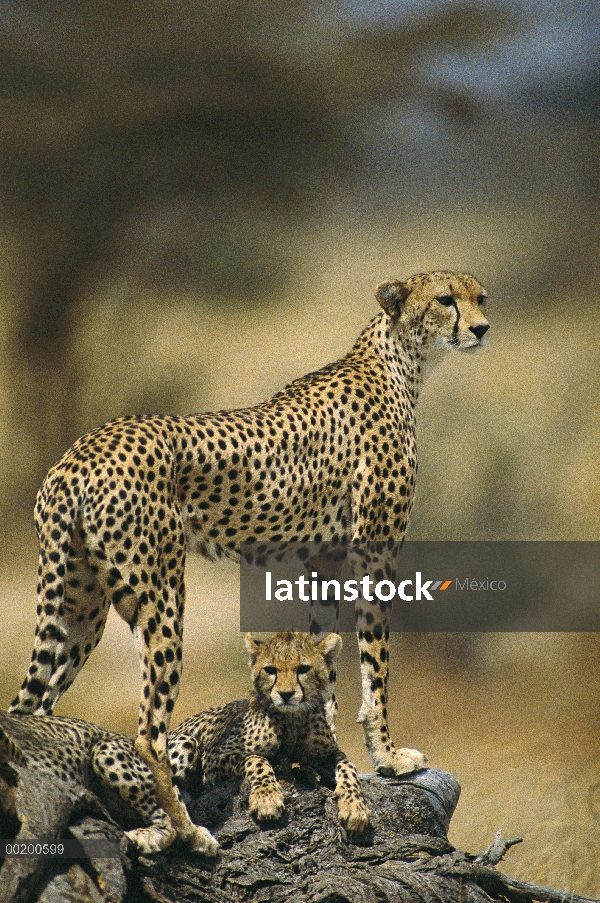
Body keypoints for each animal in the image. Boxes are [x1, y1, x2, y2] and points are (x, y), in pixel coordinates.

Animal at [8, 272, 488, 852]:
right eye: (445, 299)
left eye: (480, 297)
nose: (483, 327)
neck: (400, 361)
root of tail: (75, 454)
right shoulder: (374, 550)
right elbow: (376, 664)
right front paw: (389, 757)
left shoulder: (323, 560)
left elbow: (325, 655)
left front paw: (322, 743)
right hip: (161, 594)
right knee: (147, 732)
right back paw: (186, 831)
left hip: (78, 605)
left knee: (28, 710)